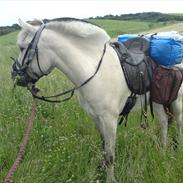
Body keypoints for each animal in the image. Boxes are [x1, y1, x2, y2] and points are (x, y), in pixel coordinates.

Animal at [12, 18, 182, 182]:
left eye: (22, 47)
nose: (14, 75)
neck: (93, 70)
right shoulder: (95, 117)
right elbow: (103, 148)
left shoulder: (109, 120)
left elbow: (110, 156)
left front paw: (110, 179)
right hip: (157, 100)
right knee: (164, 122)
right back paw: (162, 150)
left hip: (176, 102)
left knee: (178, 123)